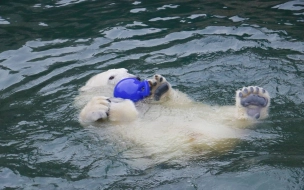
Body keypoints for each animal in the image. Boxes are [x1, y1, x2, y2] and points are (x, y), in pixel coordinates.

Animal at [75, 68, 270, 160]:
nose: (137, 77)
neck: (141, 104)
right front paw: (99, 104)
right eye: (111, 76)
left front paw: (158, 86)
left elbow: (173, 100)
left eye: (127, 70)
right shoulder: (108, 131)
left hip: (212, 115)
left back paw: (253, 101)